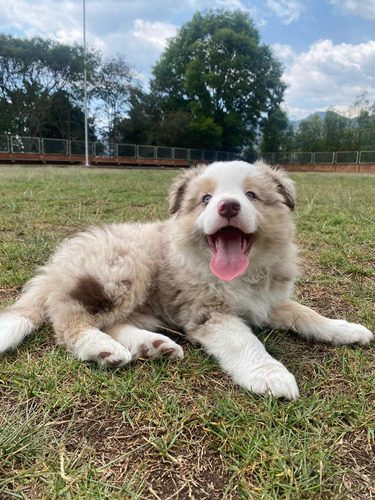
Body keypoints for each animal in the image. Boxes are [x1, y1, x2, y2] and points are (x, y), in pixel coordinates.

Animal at [0, 161, 374, 398]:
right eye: (205, 199)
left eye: (251, 195)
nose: (228, 206)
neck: (242, 276)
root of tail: (57, 264)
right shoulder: (208, 312)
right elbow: (245, 341)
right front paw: (270, 375)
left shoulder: (269, 301)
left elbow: (307, 314)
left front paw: (347, 330)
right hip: (122, 270)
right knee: (69, 320)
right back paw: (102, 348)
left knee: (115, 322)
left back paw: (152, 345)